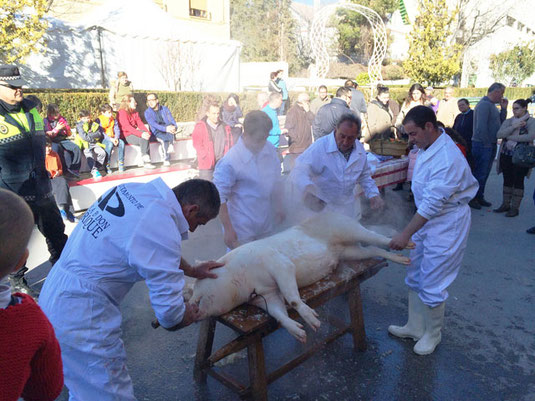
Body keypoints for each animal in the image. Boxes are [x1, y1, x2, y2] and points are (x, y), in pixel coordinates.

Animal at [191, 211, 412, 342]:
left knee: (376, 237)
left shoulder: (280, 264)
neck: (245, 282)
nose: (190, 307)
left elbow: (292, 298)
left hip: (347, 229)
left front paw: (315, 323)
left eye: (196, 288)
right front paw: (301, 335)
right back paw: (403, 260)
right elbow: (278, 313)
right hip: (349, 252)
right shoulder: (266, 296)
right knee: (373, 249)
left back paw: (406, 246)